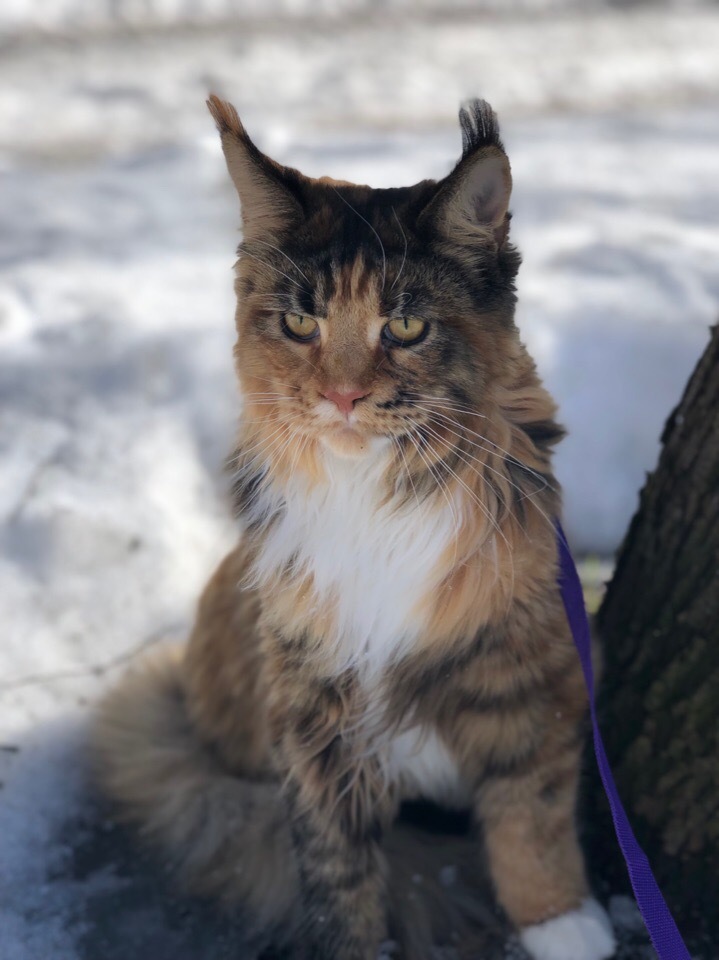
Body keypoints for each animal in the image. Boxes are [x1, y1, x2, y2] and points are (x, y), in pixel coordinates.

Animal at [93, 95, 616, 960]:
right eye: (301, 322)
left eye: (403, 328)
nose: (340, 397)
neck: (376, 498)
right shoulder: (311, 710)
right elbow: (338, 877)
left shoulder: (528, 663)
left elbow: (530, 817)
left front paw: (562, 924)